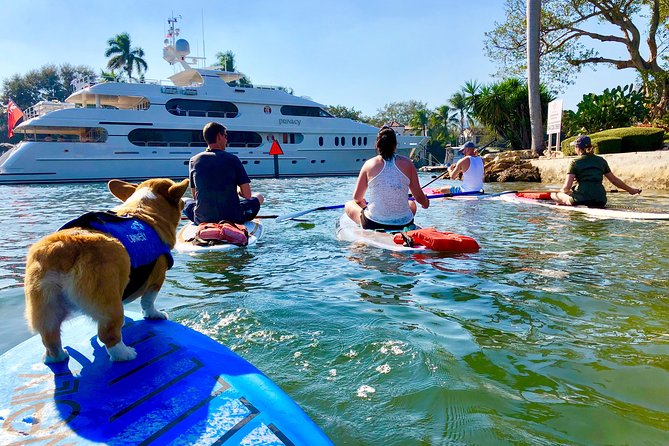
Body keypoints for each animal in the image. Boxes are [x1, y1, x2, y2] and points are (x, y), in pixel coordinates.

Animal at [24, 177, 188, 362]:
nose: (186, 201)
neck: (145, 209)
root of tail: (63, 247)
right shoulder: (157, 279)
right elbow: (148, 301)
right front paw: (155, 314)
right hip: (110, 306)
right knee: (108, 335)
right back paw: (125, 354)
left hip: (46, 309)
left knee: (50, 339)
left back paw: (58, 356)